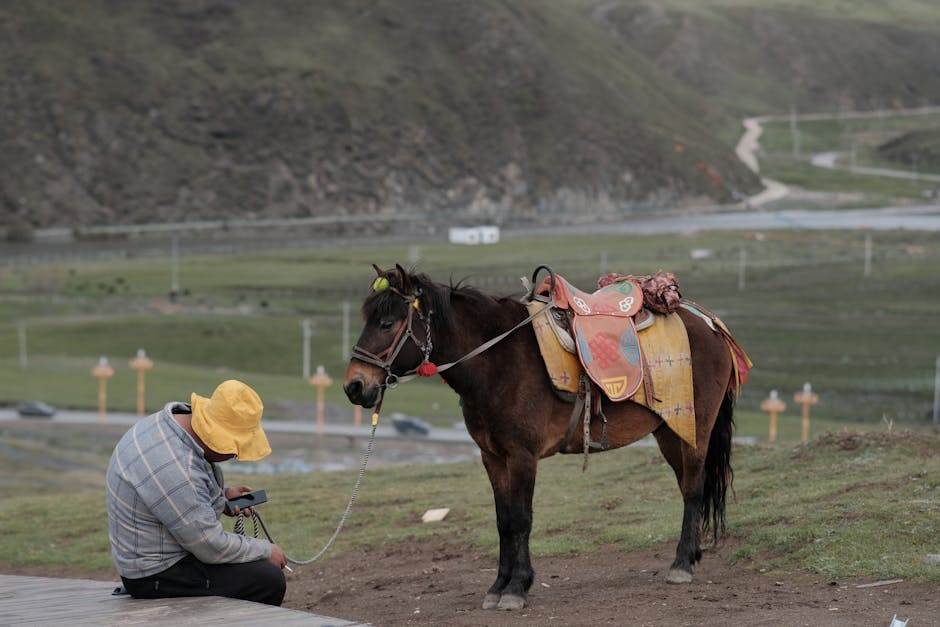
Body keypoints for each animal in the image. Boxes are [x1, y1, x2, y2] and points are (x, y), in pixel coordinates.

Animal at [342, 266, 744, 612]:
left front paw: (517, 587)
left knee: (693, 489)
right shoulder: (493, 457)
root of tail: (709, 322)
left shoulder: (522, 455)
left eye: (387, 322)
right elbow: (504, 521)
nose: (354, 386)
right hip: (668, 432)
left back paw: (681, 565)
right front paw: (498, 586)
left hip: (694, 428)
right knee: (688, 487)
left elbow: (521, 519)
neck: (498, 361)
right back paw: (691, 555)